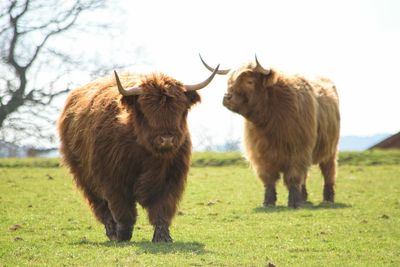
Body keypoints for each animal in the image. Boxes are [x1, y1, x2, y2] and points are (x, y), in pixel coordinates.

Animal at [57, 65, 219, 243]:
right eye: (145, 108)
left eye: (181, 108)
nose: (167, 139)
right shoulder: (113, 181)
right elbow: (123, 211)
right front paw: (122, 235)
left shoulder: (171, 179)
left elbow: (162, 209)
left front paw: (162, 237)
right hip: (85, 178)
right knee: (102, 207)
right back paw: (112, 233)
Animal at [202, 55, 340, 209]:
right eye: (230, 81)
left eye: (249, 81)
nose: (226, 98)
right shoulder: (260, 154)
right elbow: (268, 179)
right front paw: (268, 202)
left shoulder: (298, 150)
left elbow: (294, 176)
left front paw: (293, 202)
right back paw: (304, 198)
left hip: (330, 149)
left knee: (329, 171)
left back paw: (328, 198)